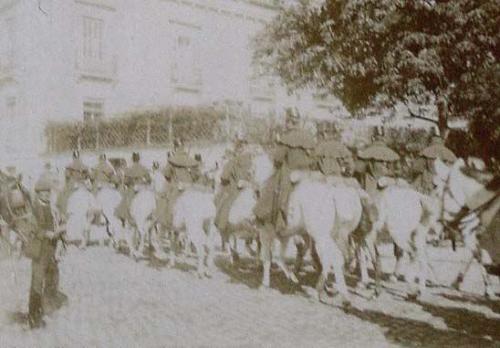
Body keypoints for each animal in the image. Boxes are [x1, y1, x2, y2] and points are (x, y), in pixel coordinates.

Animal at [434, 158, 500, 296]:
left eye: (437, 194)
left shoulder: (470, 233)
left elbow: (478, 257)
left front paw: (489, 290)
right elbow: (476, 256)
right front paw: (457, 281)